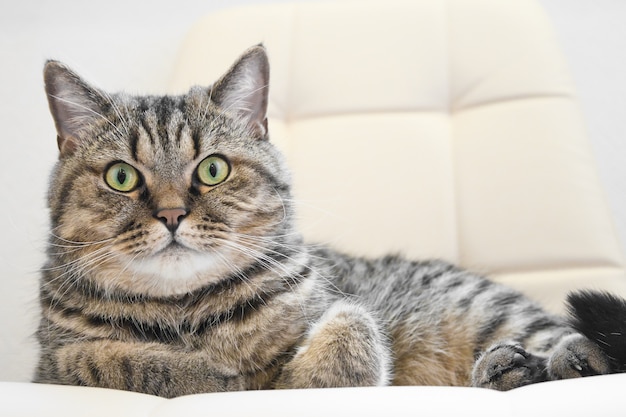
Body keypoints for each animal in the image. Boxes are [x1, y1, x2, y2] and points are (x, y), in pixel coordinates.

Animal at [34, 45, 624, 396]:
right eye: (121, 177)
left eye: (213, 169)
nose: (173, 214)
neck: (187, 313)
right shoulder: (50, 366)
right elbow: (107, 359)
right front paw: (203, 373)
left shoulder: (339, 304)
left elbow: (351, 328)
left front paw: (303, 377)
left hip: (487, 313)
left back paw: (553, 361)